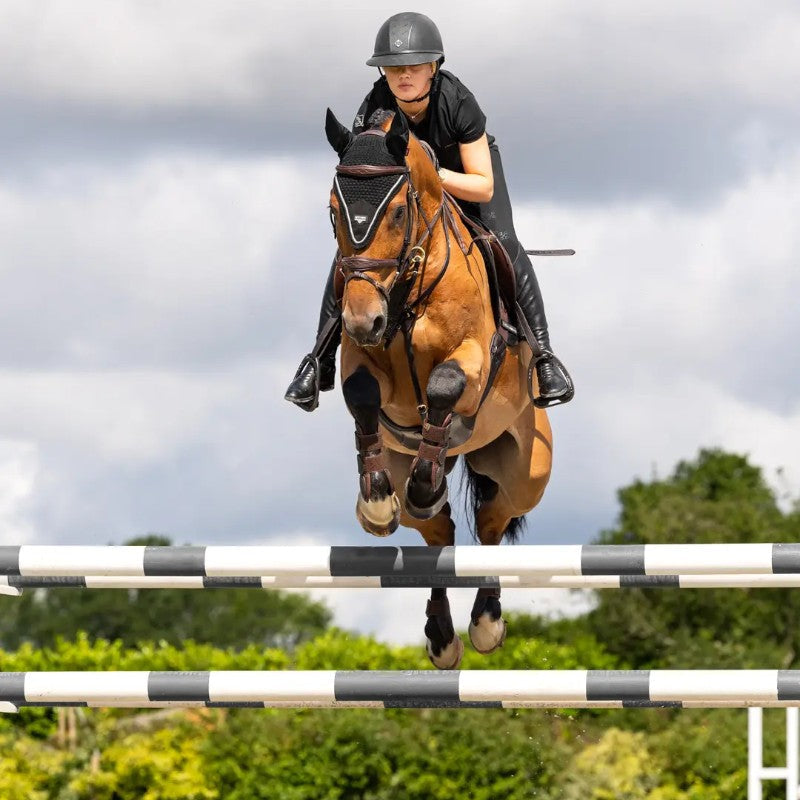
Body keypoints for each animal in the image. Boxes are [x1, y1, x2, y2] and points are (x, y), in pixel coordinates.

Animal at [325, 107, 553, 669]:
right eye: (333, 211)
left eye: (397, 213)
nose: (362, 319)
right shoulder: (360, 359)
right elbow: (362, 394)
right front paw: (375, 501)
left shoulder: (473, 357)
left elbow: (446, 385)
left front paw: (421, 483)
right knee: (439, 533)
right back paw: (442, 635)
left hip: (525, 473)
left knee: (492, 520)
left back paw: (486, 623)